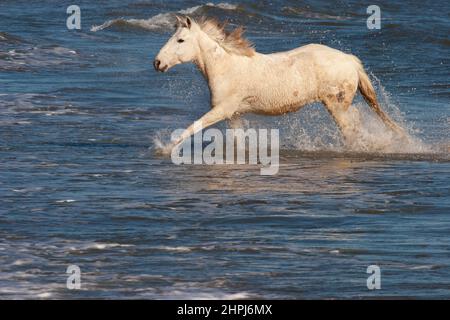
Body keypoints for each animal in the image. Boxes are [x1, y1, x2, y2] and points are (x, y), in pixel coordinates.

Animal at [155, 15, 404, 149]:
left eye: (180, 40)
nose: (157, 63)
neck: (226, 67)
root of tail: (350, 60)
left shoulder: (222, 110)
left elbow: (192, 127)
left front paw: (165, 148)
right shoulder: (234, 114)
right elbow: (238, 141)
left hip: (336, 105)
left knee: (351, 126)